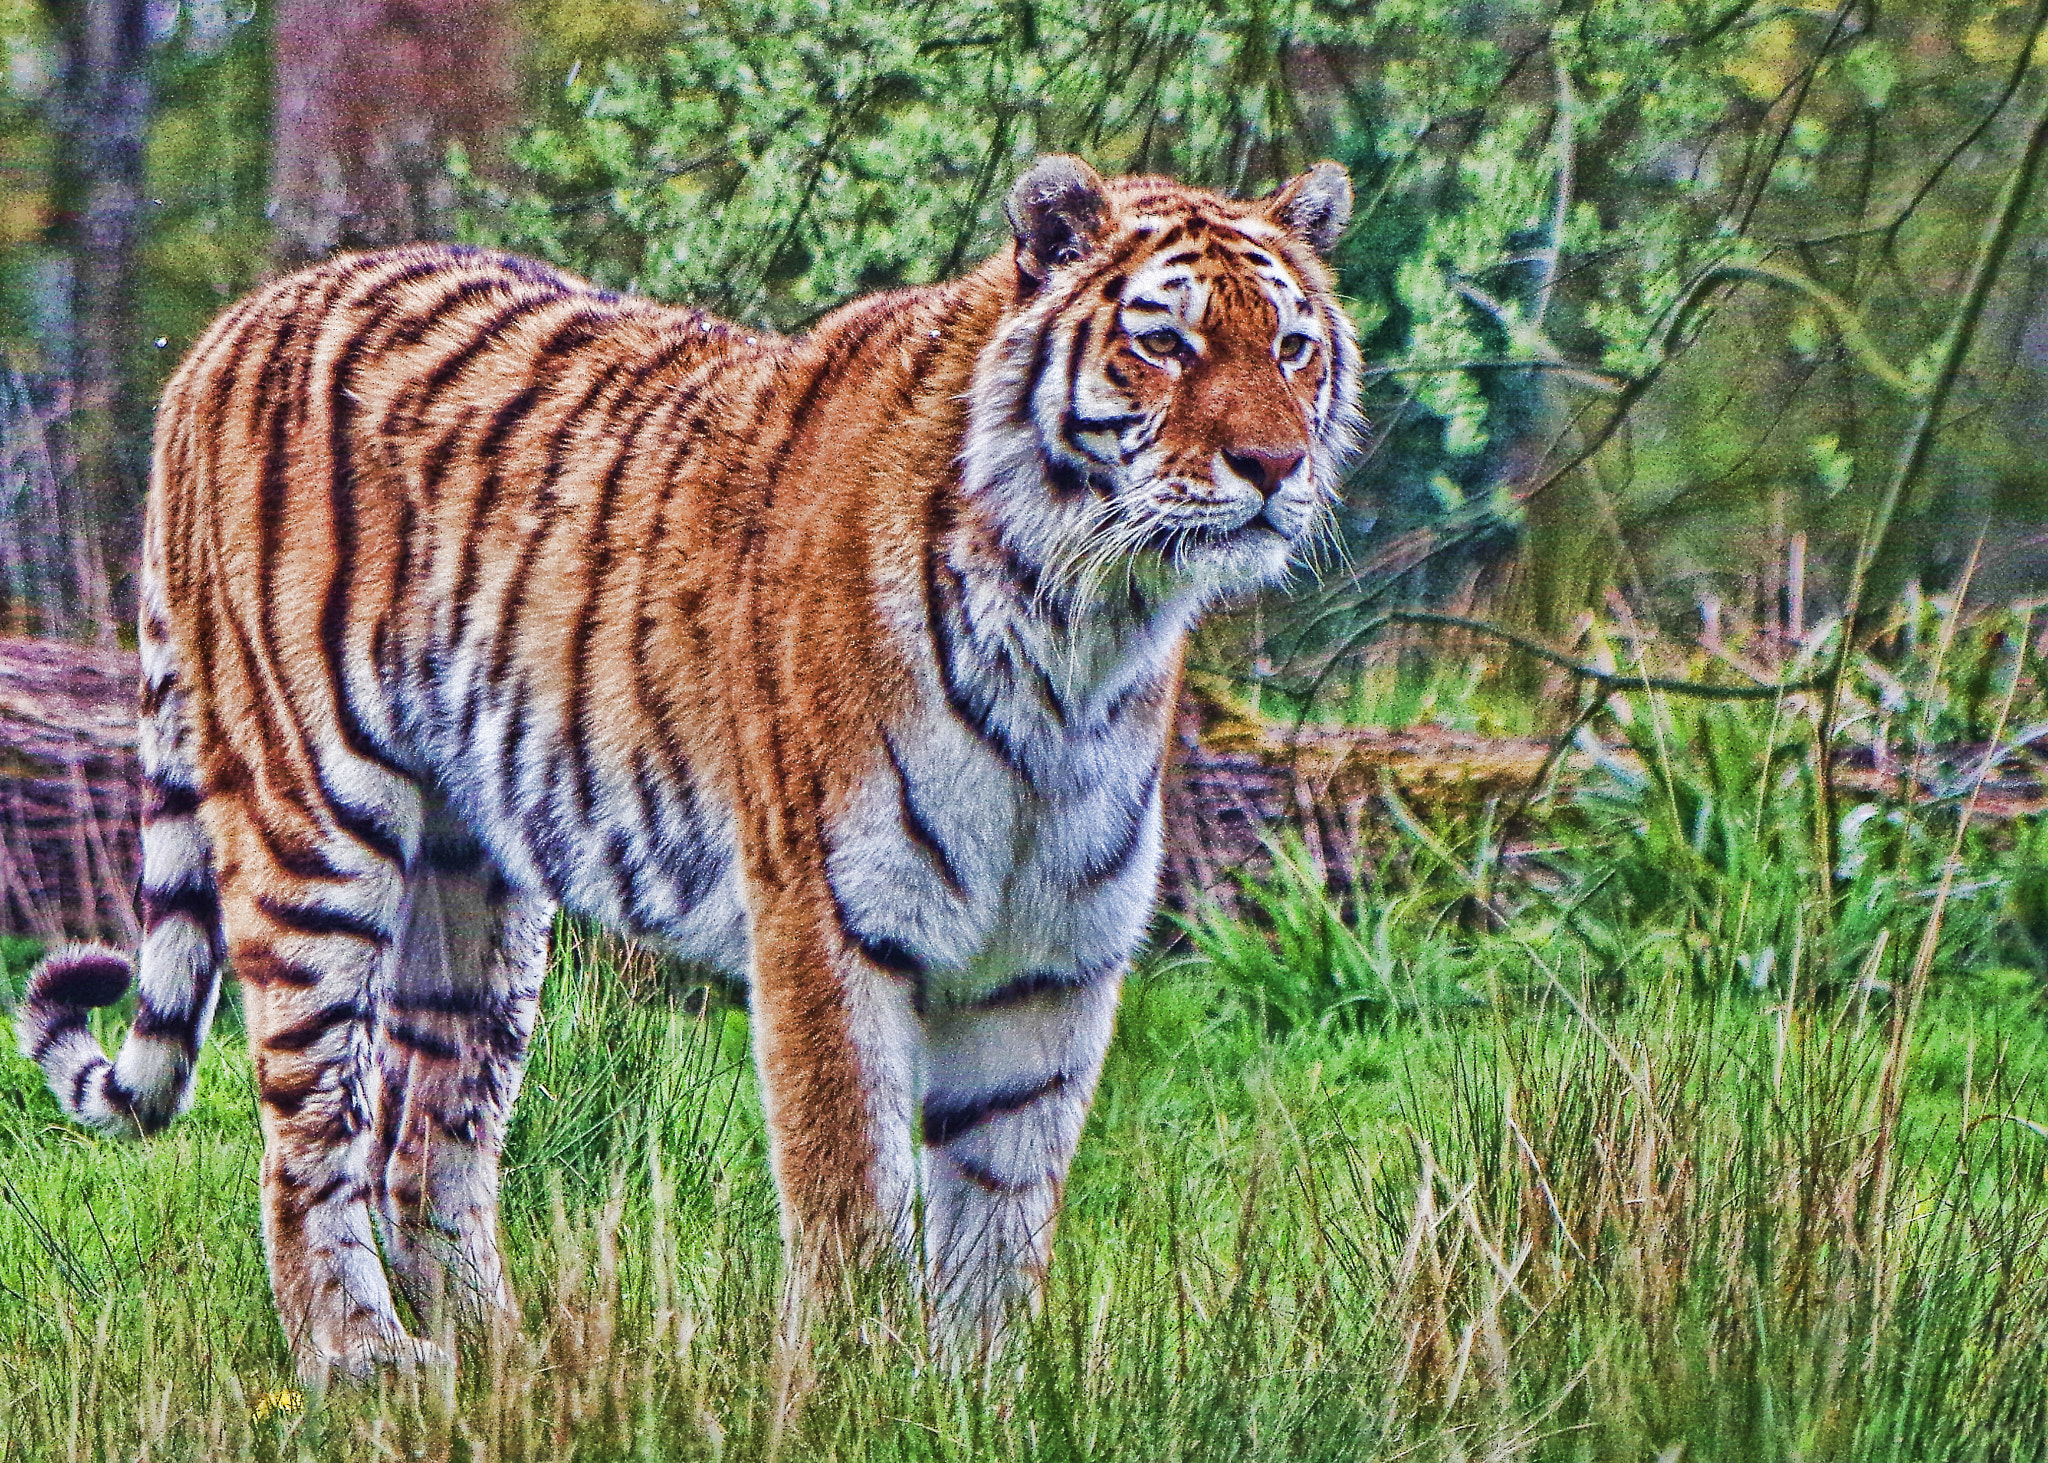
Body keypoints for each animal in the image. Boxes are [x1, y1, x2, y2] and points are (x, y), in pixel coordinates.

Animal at [15, 155, 1361, 1382]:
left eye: (1292, 346)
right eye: (1165, 343)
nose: (1272, 466)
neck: (1084, 625)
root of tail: (229, 326)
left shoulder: (1048, 954)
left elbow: (1001, 1209)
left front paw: (986, 1398)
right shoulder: (830, 917)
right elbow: (850, 1191)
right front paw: (857, 1394)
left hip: (477, 894)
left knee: (421, 1142)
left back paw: (520, 1367)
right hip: (314, 833)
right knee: (307, 1132)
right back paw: (359, 1359)